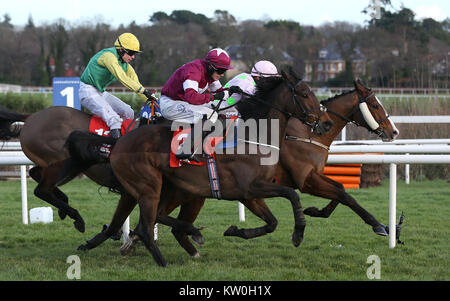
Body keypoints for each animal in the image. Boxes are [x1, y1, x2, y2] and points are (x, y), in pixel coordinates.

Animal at [64, 68, 334, 264]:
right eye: (305, 94)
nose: (326, 123)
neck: (254, 135)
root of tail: (119, 140)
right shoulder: (251, 187)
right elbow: (291, 195)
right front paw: (298, 232)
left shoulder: (249, 194)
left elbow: (272, 222)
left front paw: (236, 231)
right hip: (150, 186)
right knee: (147, 223)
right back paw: (169, 252)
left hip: (174, 189)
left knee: (153, 218)